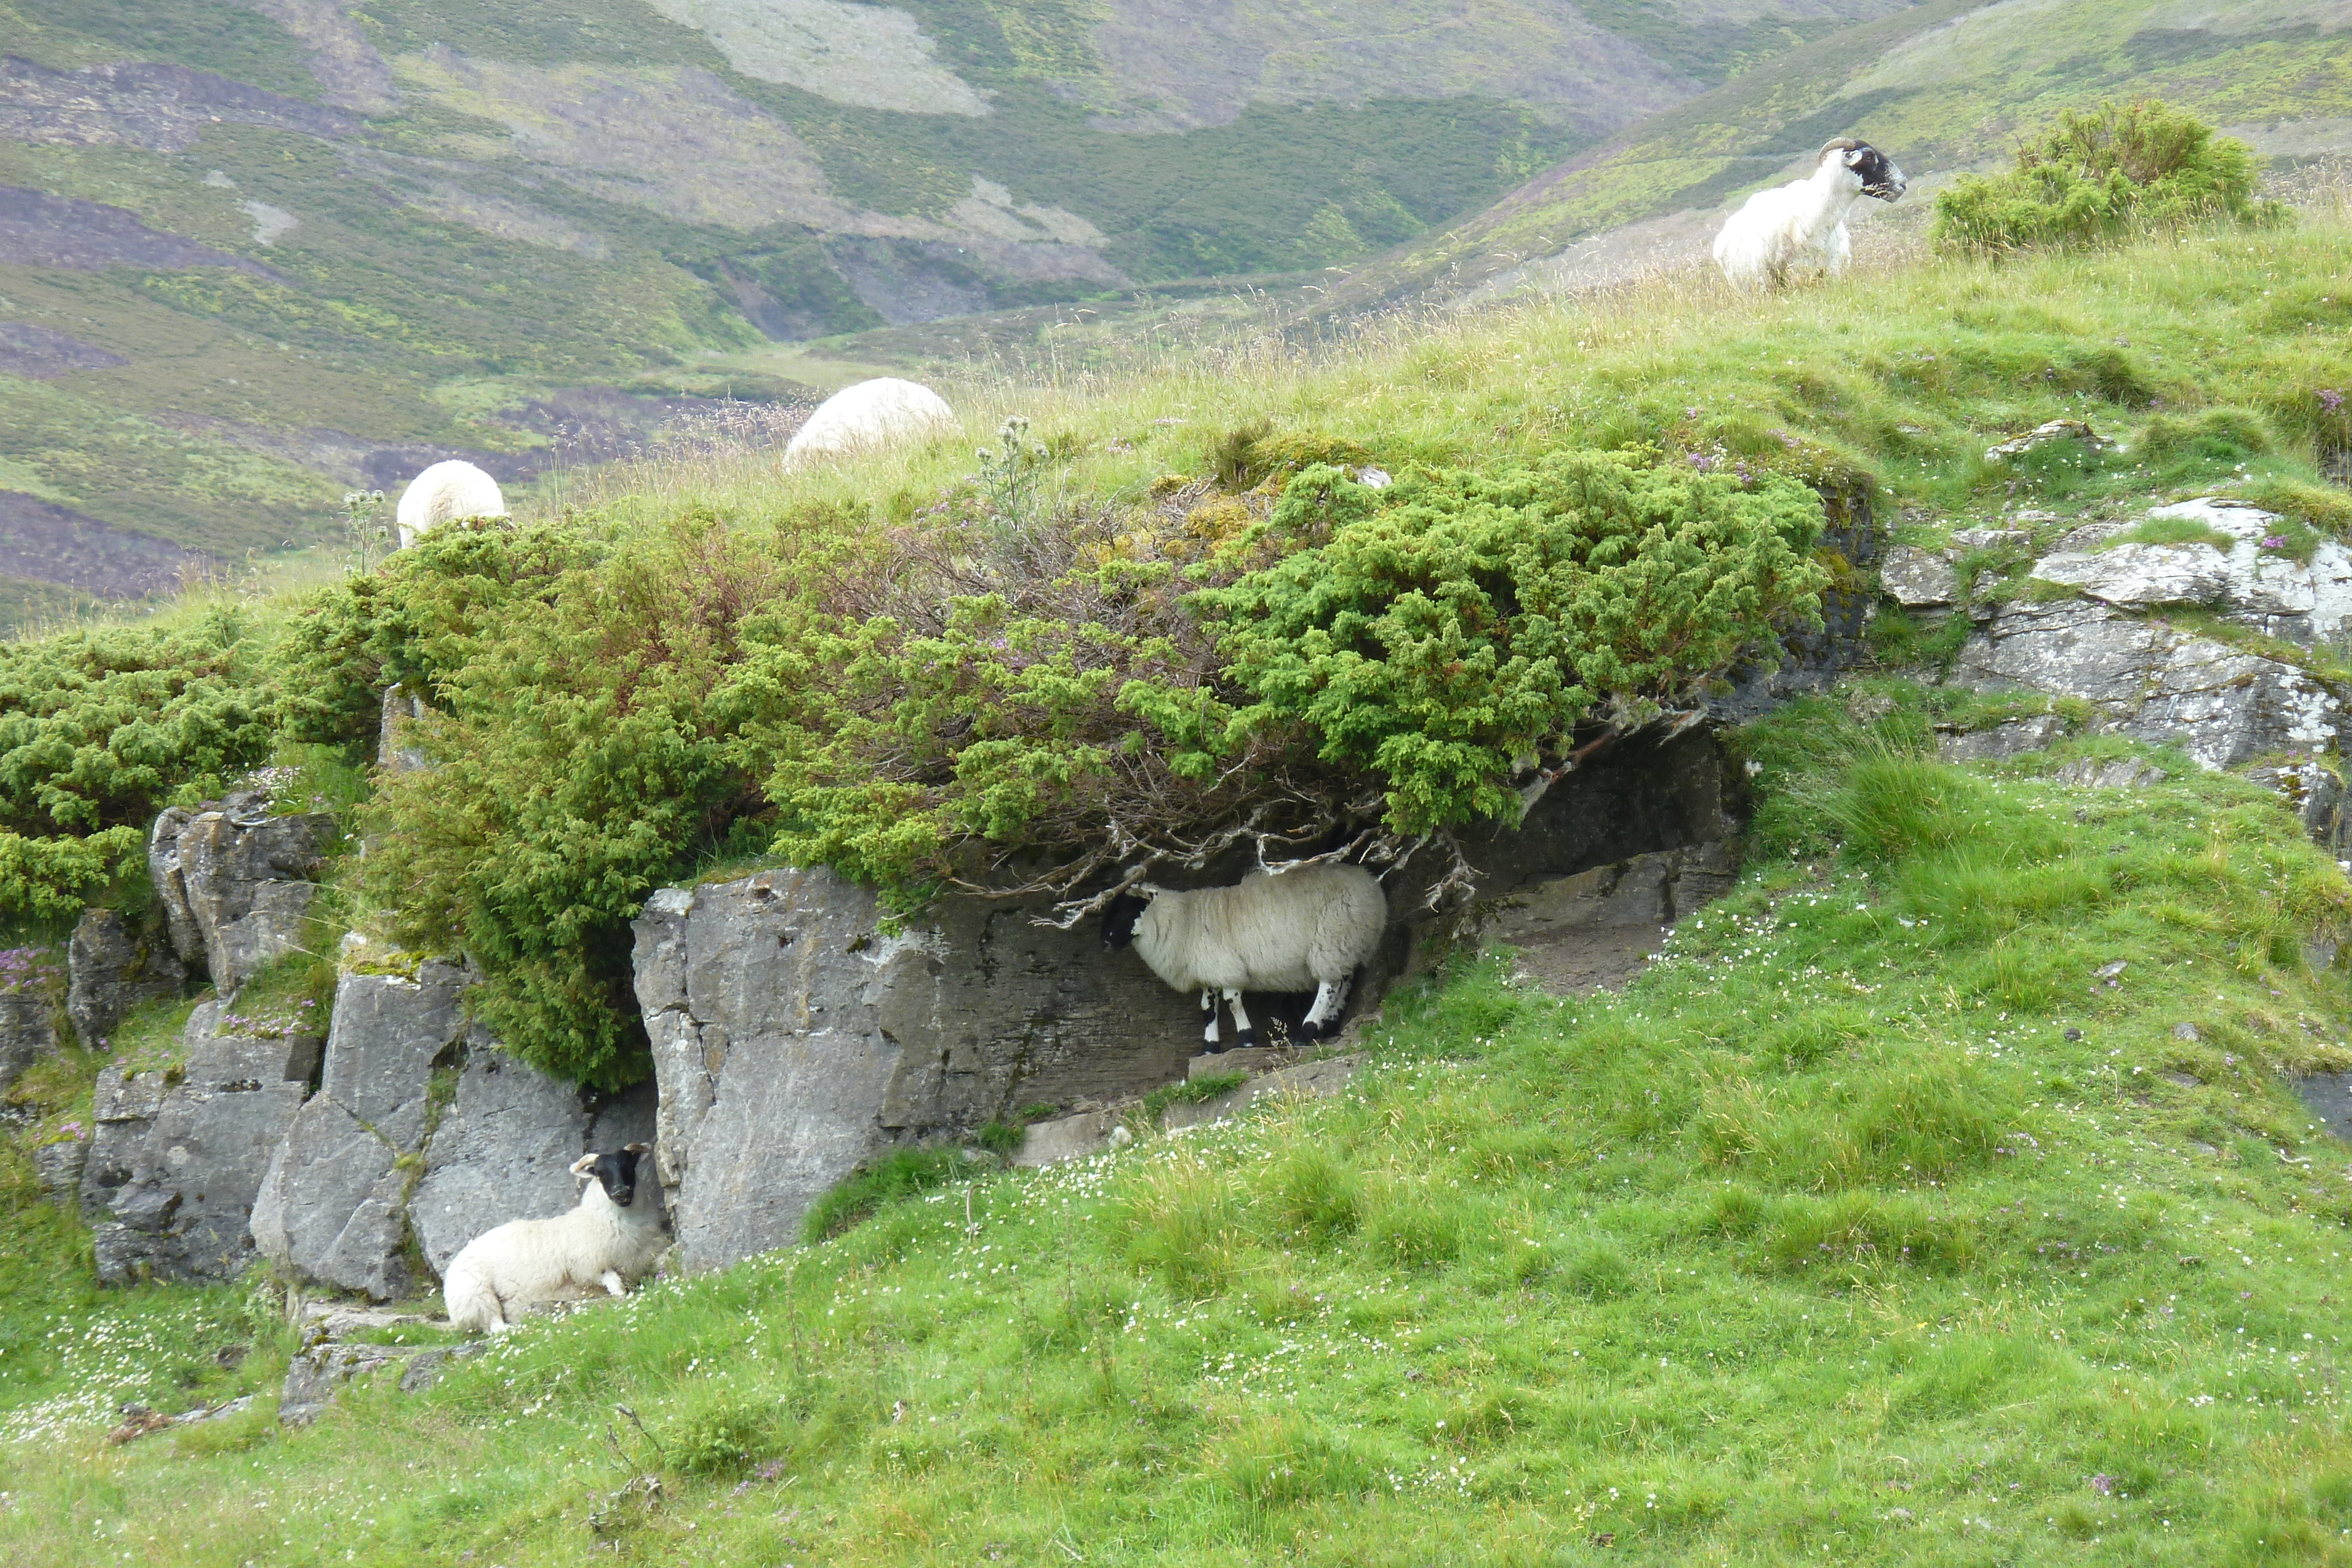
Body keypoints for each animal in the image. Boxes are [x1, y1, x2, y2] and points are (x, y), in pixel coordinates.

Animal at [442, 1142, 668, 1335]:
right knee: (496, 1328)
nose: (620, 1192)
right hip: (477, 1296)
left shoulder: (646, 1257)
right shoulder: (589, 1266)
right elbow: (617, 1288)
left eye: (628, 1166)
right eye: (600, 1173)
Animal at [1096, 860, 1383, 1053]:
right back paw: (1329, 1023)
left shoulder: (1225, 966)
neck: (1184, 920)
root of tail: (1368, 881)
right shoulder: (1209, 970)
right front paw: (1210, 1047)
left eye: (1130, 907)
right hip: (1347, 943)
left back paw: (1308, 1029)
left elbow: (1232, 1002)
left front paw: (1246, 1039)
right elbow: (1207, 1008)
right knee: (1344, 980)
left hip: (1331, 938)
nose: (1104, 941)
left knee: (1328, 986)